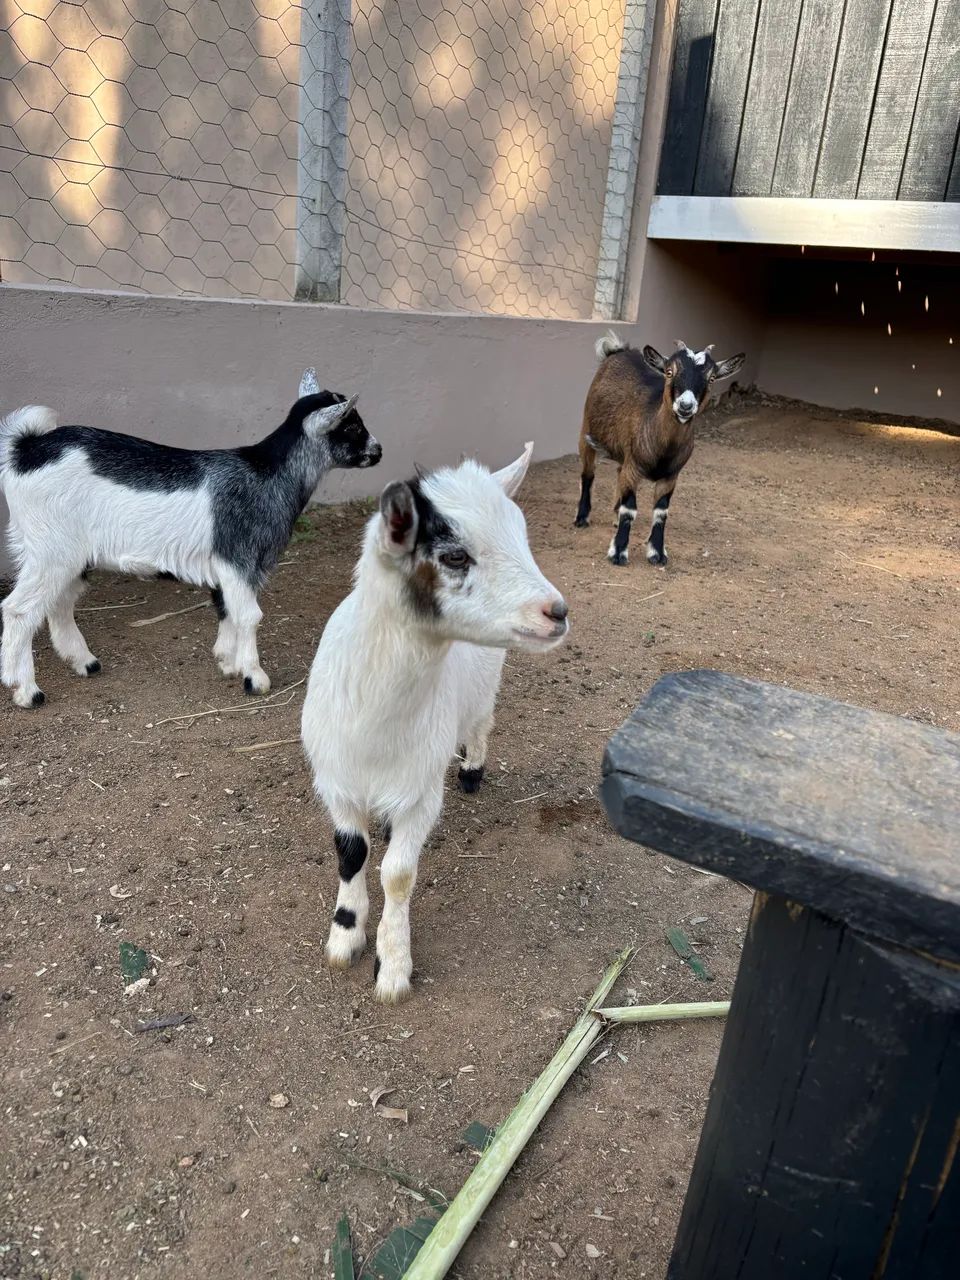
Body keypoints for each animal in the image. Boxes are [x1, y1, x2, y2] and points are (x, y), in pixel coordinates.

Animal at [0, 370, 380, 709]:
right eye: (351, 426)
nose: (378, 451)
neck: (267, 474)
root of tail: (26, 449)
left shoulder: (230, 566)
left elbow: (225, 607)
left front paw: (228, 662)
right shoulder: (239, 557)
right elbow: (249, 615)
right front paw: (254, 678)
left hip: (63, 553)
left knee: (60, 602)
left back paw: (84, 662)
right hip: (50, 549)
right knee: (19, 610)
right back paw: (27, 691)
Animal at [301, 443, 568, 1003]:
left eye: (522, 535)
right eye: (455, 556)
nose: (556, 612)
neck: (376, 727)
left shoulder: (422, 792)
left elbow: (399, 875)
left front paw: (392, 964)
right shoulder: (335, 782)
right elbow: (350, 854)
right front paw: (345, 935)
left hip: (485, 691)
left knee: (481, 726)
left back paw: (471, 772)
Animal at [575, 333, 745, 566]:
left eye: (711, 378)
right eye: (669, 371)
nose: (685, 406)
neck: (663, 450)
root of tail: (617, 351)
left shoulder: (670, 476)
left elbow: (661, 513)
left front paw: (657, 553)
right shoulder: (634, 467)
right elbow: (630, 510)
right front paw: (618, 553)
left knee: (618, 471)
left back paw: (613, 515)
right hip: (587, 430)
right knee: (588, 474)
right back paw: (582, 518)